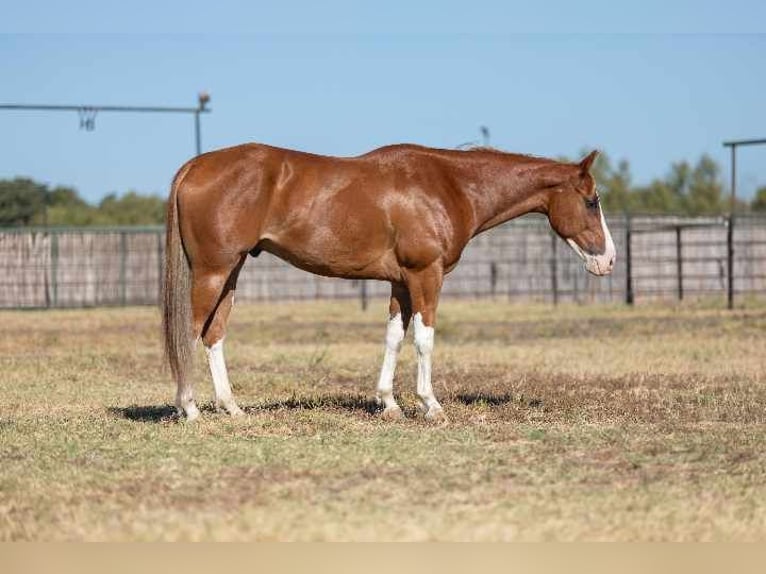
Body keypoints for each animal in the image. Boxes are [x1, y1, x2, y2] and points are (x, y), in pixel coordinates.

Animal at [162, 143, 616, 422]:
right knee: (190, 332)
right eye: (591, 201)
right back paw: (190, 409)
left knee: (214, 334)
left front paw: (388, 403)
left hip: (231, 272)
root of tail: (196, 165)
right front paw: (431, 405)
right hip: (214, 271)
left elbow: (394, 339)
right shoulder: (425, 275)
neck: (448, 185)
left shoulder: (400, 283)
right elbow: (425, 339)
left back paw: (231, 408)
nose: (609, 260)